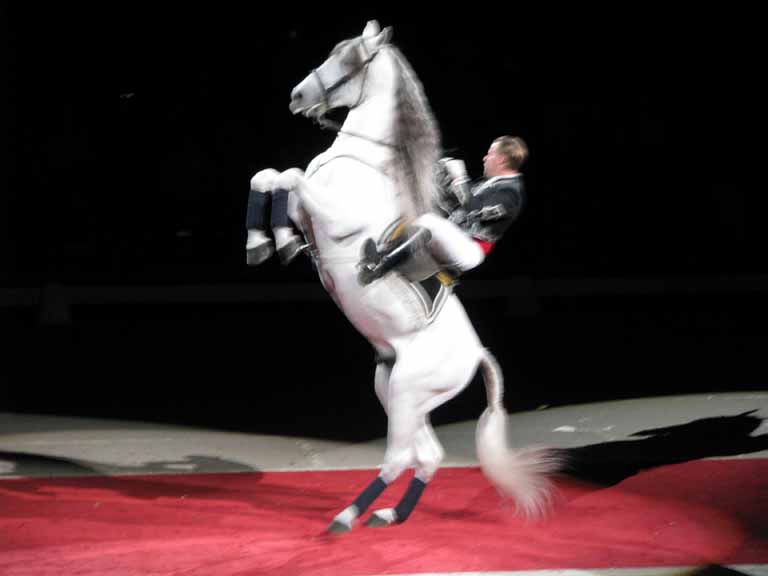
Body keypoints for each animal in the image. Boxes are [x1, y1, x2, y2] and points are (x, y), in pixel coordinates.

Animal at [249, 19, 560, 532]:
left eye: (350, 59)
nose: (297, 96)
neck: (362, 161)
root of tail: (477, 354)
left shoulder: (333, 216)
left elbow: (289, 176)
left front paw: (273, 241)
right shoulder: (306, 205)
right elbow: (271, 177)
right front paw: (270, 241)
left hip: (409, 390)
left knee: (399, 457)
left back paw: (347, 517)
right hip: (398, 390)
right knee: (427, 455)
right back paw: (390, 514)